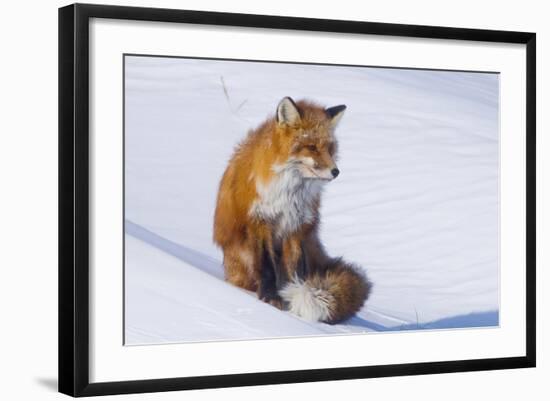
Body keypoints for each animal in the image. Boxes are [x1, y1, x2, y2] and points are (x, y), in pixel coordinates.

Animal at [213, 97, 374, 324]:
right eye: (311, 147)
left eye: (330, 148)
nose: (336, 172)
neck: (289, 193)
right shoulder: (260, 220)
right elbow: (267, 266)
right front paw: (270, 298)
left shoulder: (296, 226)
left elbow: (295, 271)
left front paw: (292, 298)